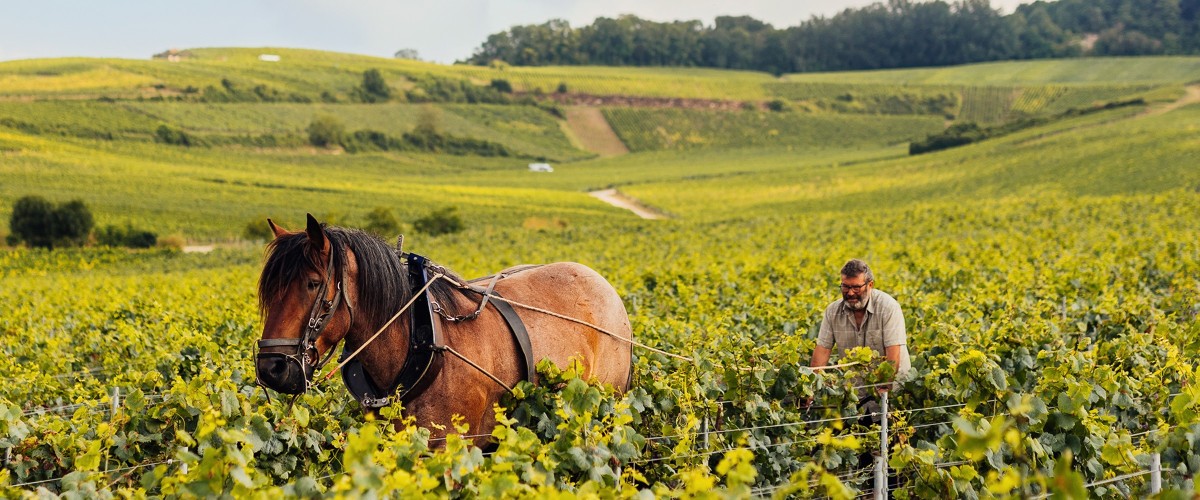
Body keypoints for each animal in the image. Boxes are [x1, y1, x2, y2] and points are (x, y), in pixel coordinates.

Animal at [255, 213, 638, 443]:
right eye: (269, 290)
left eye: (312, 284)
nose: (271, 368)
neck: (419, 345)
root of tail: (604, 285)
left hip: (607, 404)